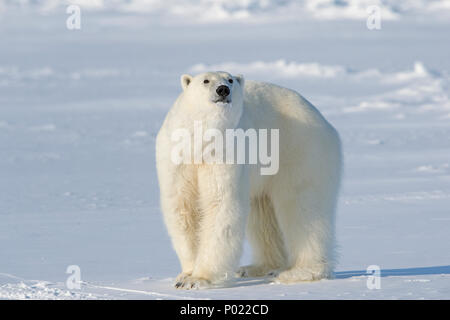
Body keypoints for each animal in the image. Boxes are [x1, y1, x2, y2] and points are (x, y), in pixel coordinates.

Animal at [156, 71, 342, 288]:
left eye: (230, 80)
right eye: (205, 80)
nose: (223, 90)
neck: (201, 140)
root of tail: (324, 121)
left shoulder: (226, 153)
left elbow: (220, 204)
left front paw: (199, 279)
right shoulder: (177, 156)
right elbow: (183, 206)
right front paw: (185, 275)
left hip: (301, 151)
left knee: (304, 209)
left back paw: (299, 272)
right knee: (263, 213)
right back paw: (256, 267)